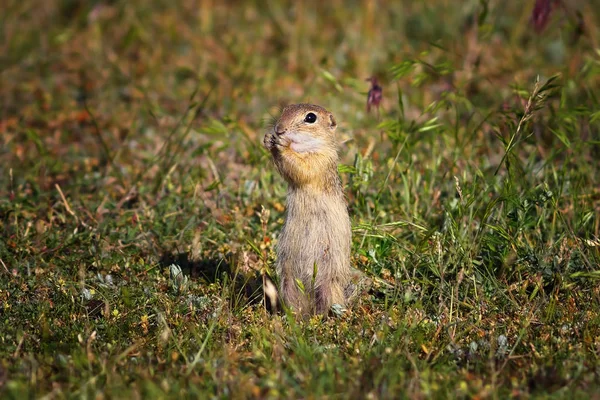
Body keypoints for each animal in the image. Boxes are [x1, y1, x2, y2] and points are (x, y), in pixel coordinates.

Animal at [264, 104, 352, 316]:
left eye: (310, 118)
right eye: (285, 109)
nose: (279, 129)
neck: (304, 147)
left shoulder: (320, 159)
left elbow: (302, 167)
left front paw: (281, 145)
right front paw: (268, 140)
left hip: (329, 285)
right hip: (288, 282)